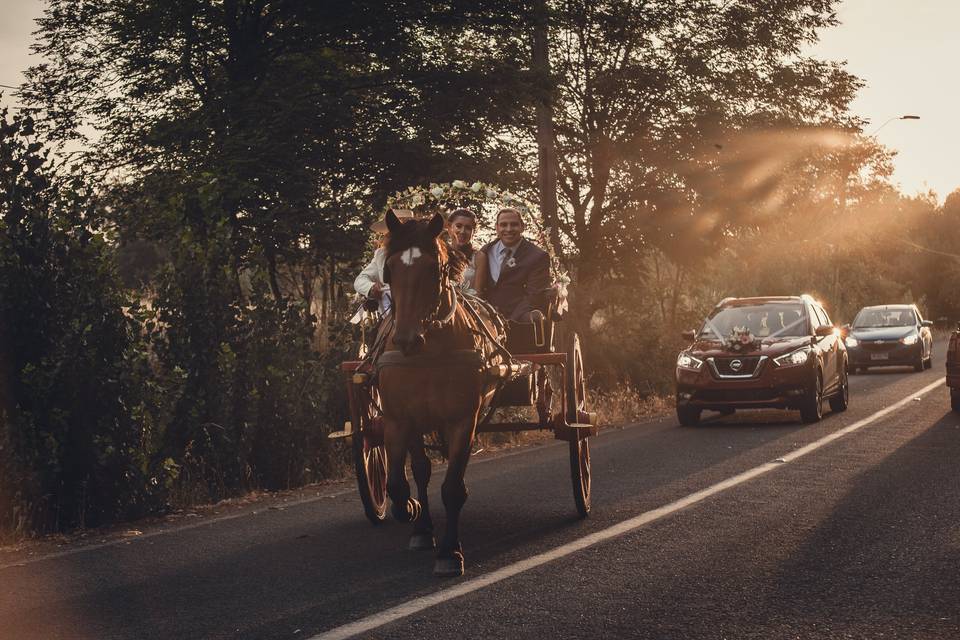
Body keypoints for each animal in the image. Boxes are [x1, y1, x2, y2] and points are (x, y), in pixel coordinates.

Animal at [378, 209, 506, 576]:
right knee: (421, 470)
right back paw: (421, 529)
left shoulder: (463, 420)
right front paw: (411, 510)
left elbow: (452, 489)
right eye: (389, 269)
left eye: (434, 270)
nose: (406, 339)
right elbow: (398, 483)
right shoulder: (398, 419)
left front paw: (450, 551)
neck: (429, 351)